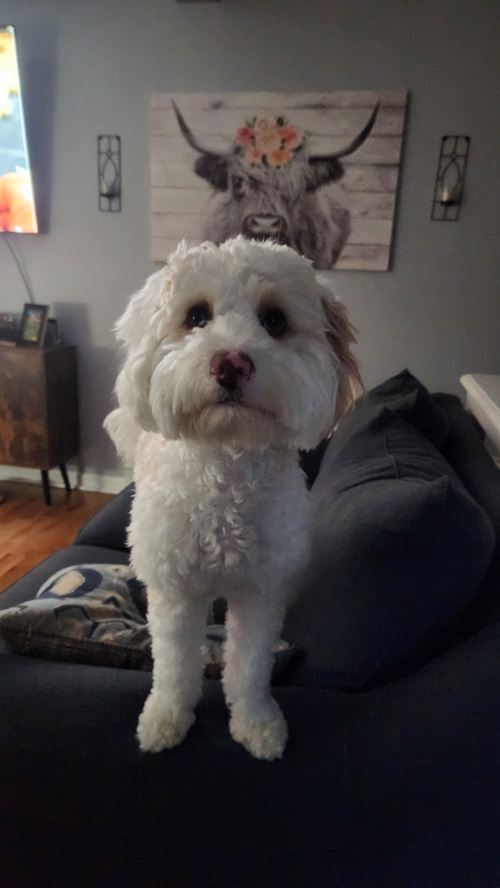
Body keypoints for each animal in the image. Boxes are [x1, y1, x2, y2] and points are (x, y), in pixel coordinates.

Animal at [104, 238, 360, 764]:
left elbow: (251, 666)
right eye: (197, 316)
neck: (225, 464)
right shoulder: (176, 593)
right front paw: (166, 718)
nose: (231, 363)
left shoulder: (261, 594)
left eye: (275, 320)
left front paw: (256, 723)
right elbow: (172, 664)